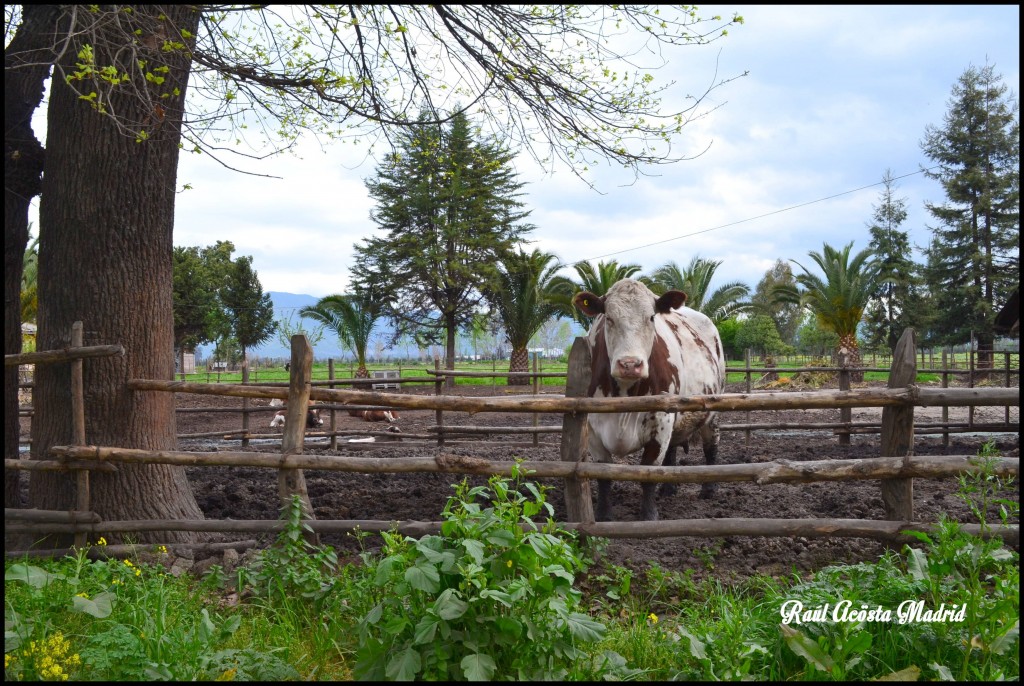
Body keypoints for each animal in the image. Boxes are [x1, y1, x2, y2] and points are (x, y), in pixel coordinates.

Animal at [573, 278, 724, 522]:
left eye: (651, 317)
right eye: (609, 318)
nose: (630, 364)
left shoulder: (660, 422)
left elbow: (648, 472)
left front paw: (649, 515)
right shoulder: (594, 430)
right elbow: (604, 475)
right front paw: (604, 515)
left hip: (711, 412)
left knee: (711, 446)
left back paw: (709, 489)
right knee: (673, 450)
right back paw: (669, 489)